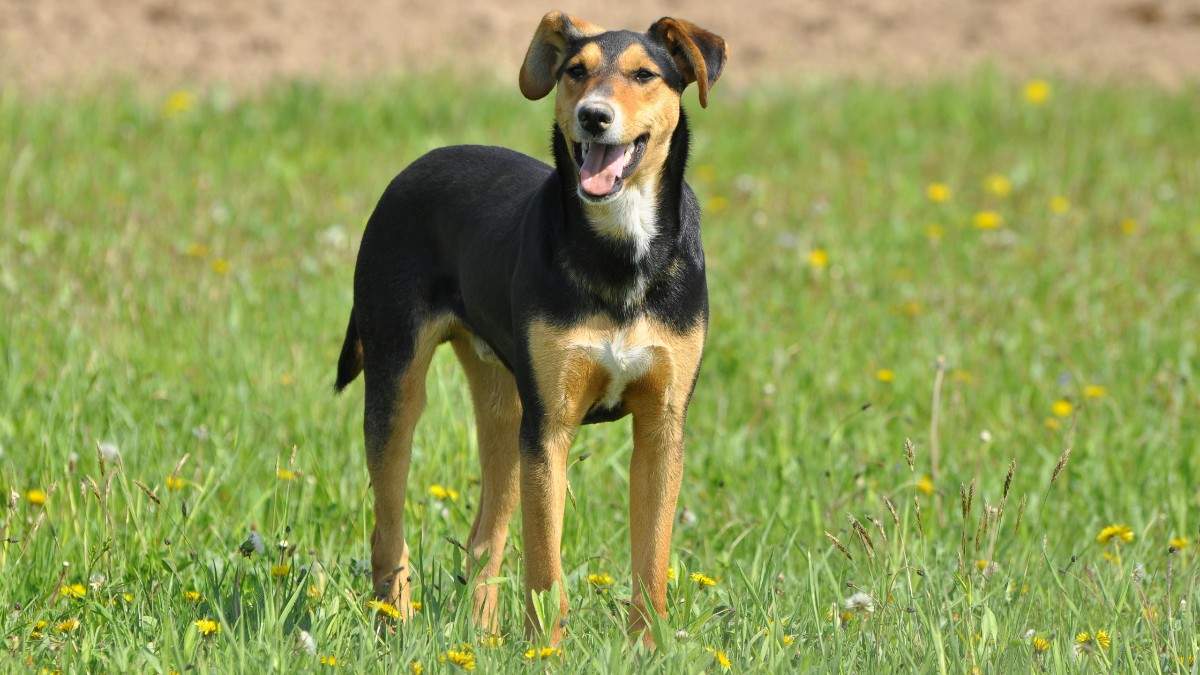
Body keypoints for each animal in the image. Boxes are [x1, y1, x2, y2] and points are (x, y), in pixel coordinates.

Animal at [333, 11, 724, 638]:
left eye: (644, 74)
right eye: (575, 72)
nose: (594, 115)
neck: (621, 249)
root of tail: (414, 168)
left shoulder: (661, 426)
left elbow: (651, 562)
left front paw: (650, 645)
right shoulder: (550, 426)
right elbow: (544, 568)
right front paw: (547, 649)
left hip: (504, 409)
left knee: (482, 540)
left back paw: (482, 639)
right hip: (399, 387)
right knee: (387, 533)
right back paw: (398, 627)